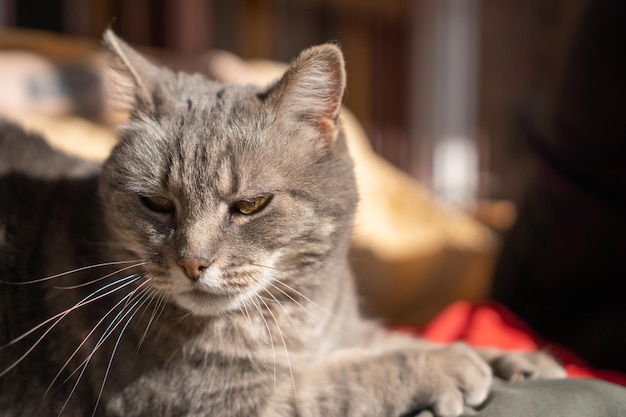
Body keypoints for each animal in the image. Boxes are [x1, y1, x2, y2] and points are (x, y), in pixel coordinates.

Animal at [0, 31, 560, 416]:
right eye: (157, 204)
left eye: (251, 205)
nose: (193, 263)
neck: (299, 315)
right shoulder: (223, 403)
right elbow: (353, 376)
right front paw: (447, 363)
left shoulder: (346, 330)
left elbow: (392, 339)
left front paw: (513, 359)